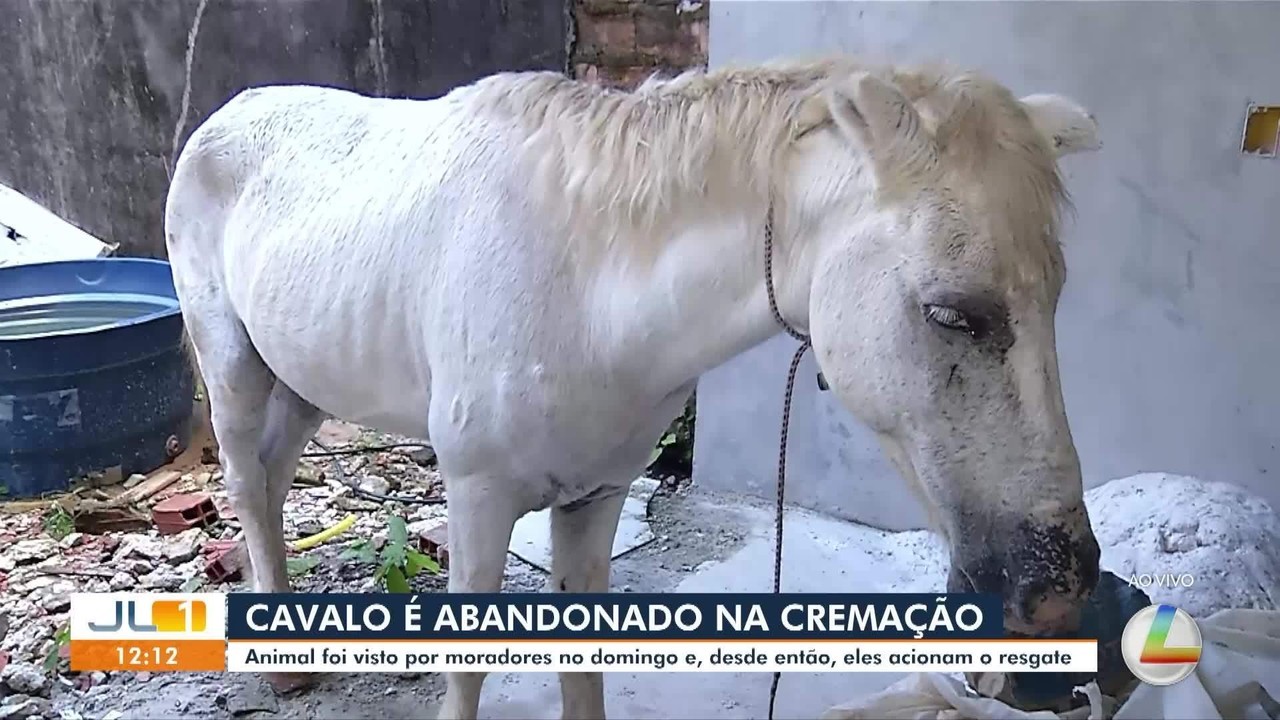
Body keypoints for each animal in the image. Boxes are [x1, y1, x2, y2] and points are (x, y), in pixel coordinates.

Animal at [164, 56, 1103, 719]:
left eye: (1056, 296)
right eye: (951, 314)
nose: (1055, 593)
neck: (589, 287)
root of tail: (227, 112)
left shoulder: (598, 494)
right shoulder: (476, 496)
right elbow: (466, 675)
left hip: (303, 379)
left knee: (273, 481)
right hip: (234, 367)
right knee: (246, 481)